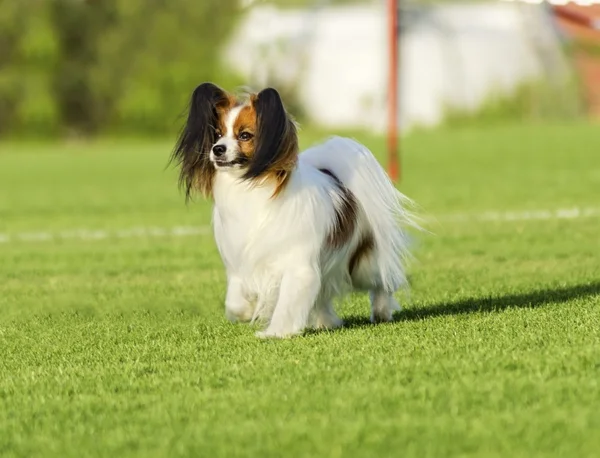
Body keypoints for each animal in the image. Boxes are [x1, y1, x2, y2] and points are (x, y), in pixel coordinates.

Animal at [171, 84, 420, 338]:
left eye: (245, 136)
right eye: (218, 134)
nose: (217, 149)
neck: (251, 188)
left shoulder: (297, 264)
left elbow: (288, 302)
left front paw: (275, 332)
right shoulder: (242, 262)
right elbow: (235, 299)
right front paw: (247, 311)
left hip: (362, 266)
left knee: (383, 281)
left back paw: (381, 311)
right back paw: (326, 322)